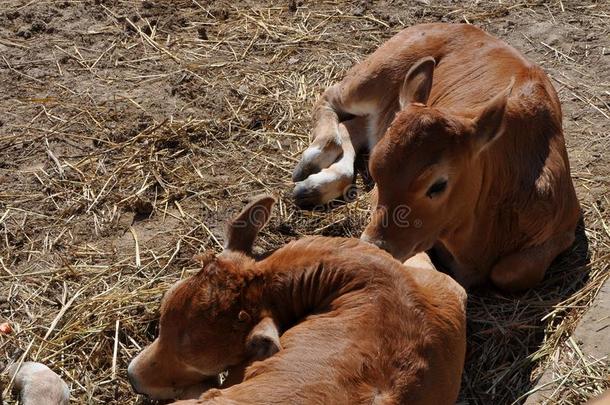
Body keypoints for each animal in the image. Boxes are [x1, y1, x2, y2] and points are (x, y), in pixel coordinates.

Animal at [292, 22, 576, 290]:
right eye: (375, 172)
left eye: (438, 185)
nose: (374, 245)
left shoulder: (566, 226)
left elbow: (511, 272)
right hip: (374, 74)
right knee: (329, 98)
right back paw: (316, 158)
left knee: (353, 127)